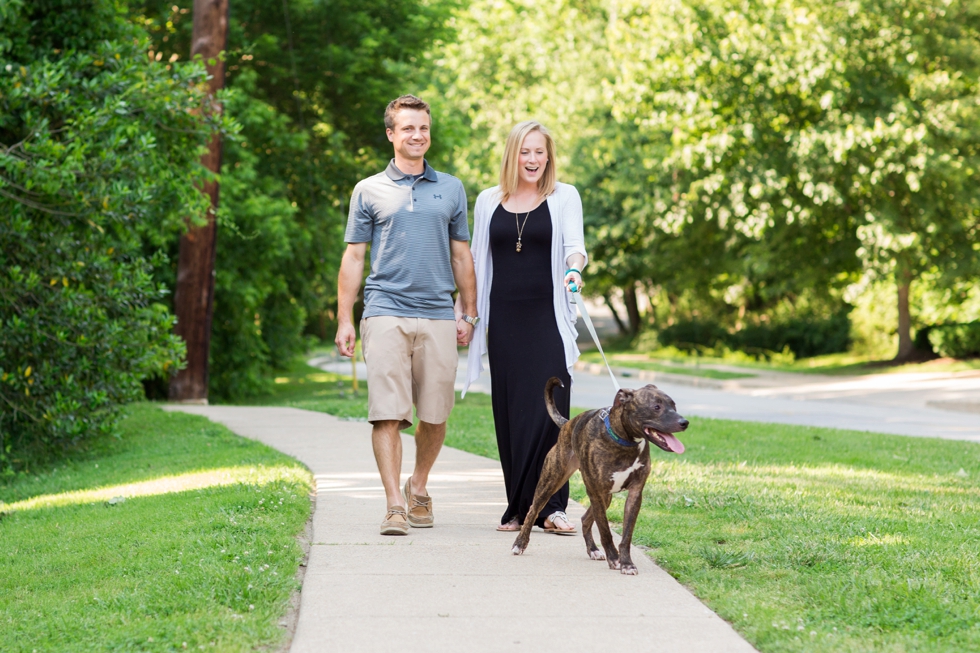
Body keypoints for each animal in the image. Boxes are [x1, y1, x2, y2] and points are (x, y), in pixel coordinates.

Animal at [512, 374, 688, 572]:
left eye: (673, 405)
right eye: (656, 407)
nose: (684, 422)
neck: (625, 440)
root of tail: (567, 425)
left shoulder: (634, 494)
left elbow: (626, 535)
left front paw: (626, 563)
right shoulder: (596, 493)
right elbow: (605, 530)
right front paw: (615, 559)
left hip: (605, 496)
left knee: (585, 519)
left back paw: (593, 550)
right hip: (551, 481)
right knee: (532, 511)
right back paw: (519, 544)